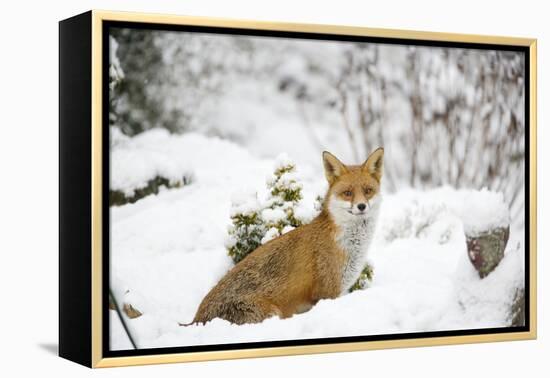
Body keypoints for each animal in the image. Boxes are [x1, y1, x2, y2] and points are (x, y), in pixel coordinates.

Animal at [192, 148, 386, 324]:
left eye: (368, 190)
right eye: (348, 193)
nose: (361, 206)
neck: (350, 246)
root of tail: (195, 320)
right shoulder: (327, 292)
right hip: (271, 313)